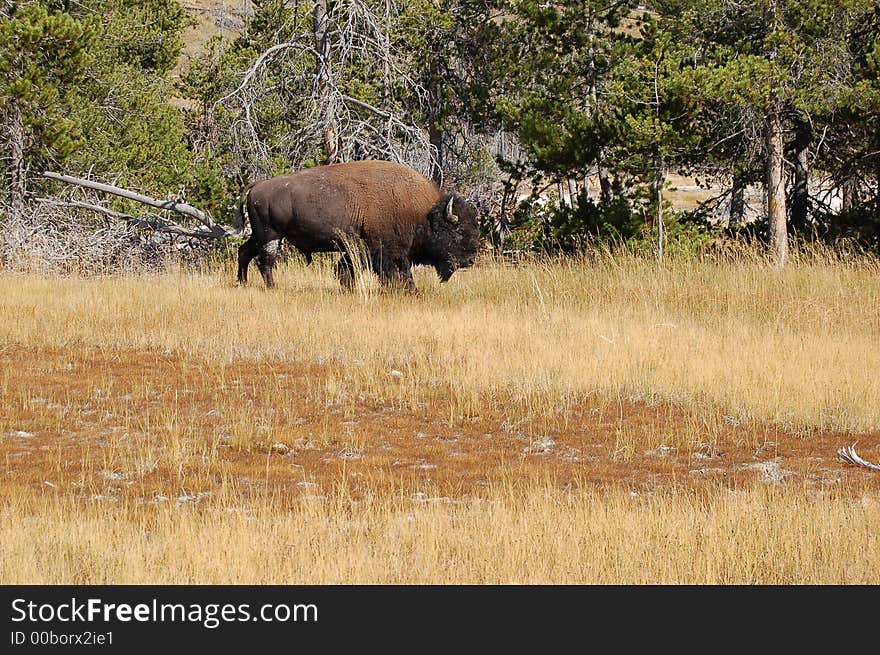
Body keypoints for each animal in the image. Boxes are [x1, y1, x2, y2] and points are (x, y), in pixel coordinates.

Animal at [234, 159, 482, 292]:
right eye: (458, 231)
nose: (470, 260)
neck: (423, 213)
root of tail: (259, 184)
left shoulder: (358, 248)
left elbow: (346, 269)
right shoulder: (388, 251)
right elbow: (400, 272)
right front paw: (412, 291)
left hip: (260, 235)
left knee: (244, 252)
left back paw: (242, 283)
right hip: (271, 235)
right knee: (265, 262)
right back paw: (272, 287)